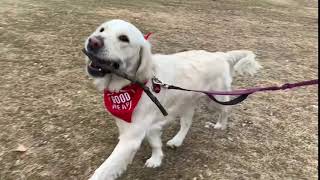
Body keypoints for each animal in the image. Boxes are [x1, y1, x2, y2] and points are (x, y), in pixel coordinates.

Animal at [84, 19, 262, 179]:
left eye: (124, 38)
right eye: (101, 29)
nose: (93, 41)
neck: (133, 85)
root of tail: (220, 55)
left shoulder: (131, 137)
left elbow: (103, 171)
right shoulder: (146, 125)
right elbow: (155, 143)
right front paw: (156, 159)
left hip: (214, 99)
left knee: (226, 110)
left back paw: (220, 125)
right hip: (187, 102)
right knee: (187, 123)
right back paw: (177, 140)